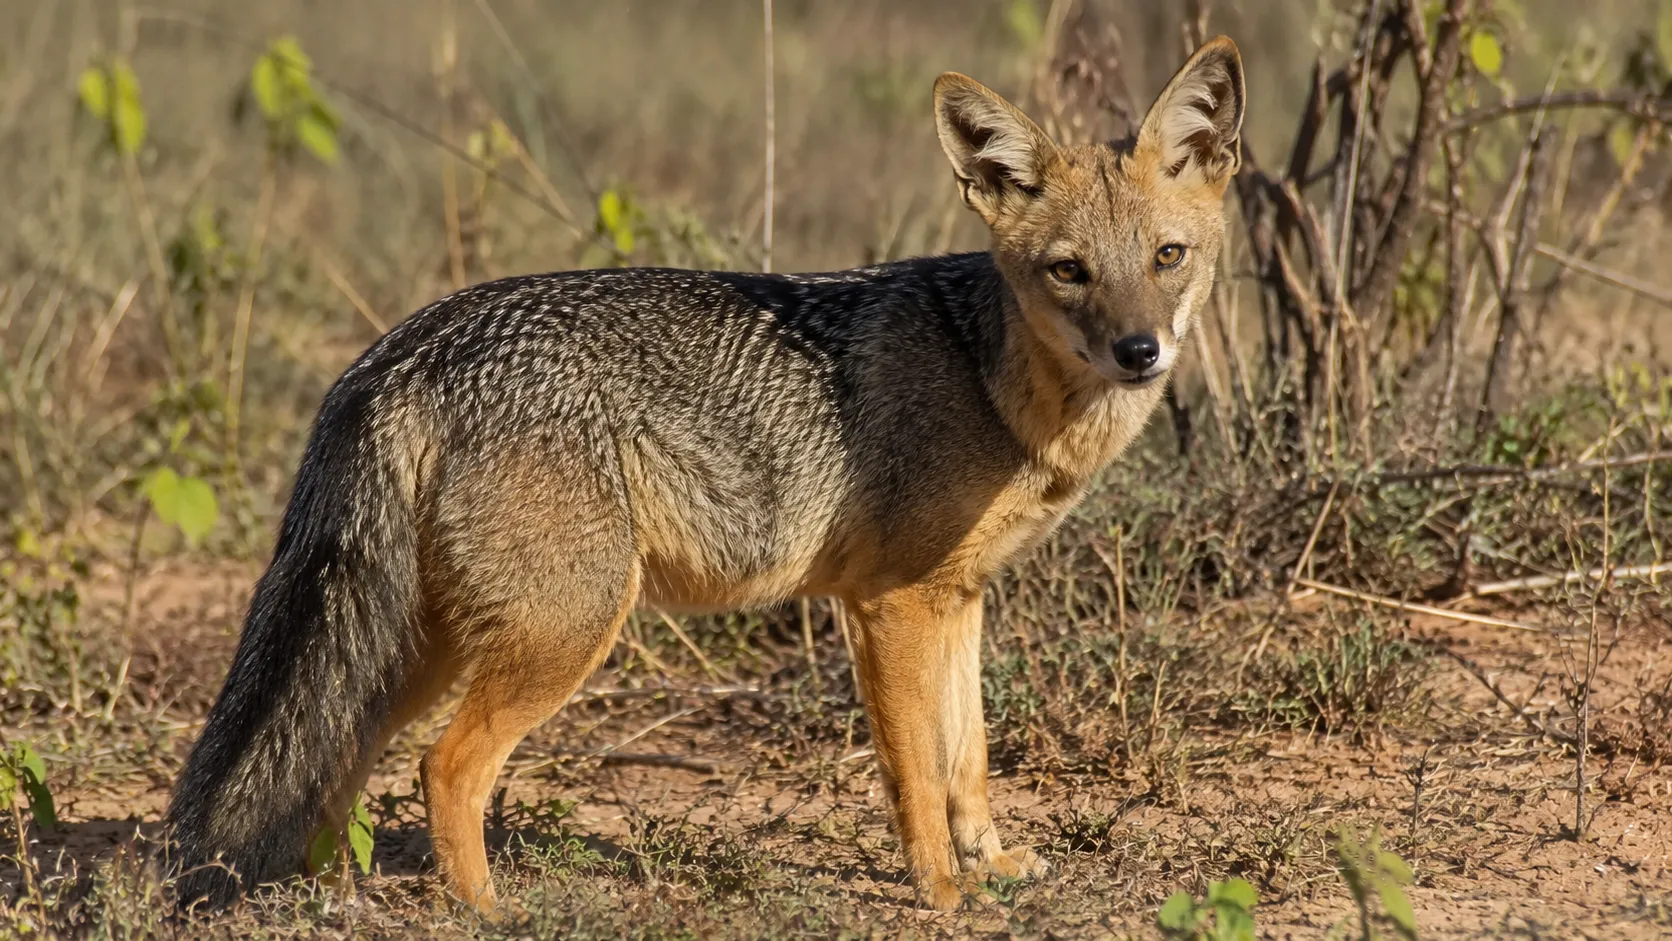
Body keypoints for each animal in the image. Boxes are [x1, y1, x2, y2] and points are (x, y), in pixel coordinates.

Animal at [164, 36, 1245, 914]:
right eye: (1069, 271)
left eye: (1167, 256)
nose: (1140, 351)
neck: (990, 378)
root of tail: (405, 347)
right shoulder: (888, 605)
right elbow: (915, 777)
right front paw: (943, 891)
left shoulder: (960, 596)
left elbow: (967, 758)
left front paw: (993, 861)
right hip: (566, 630)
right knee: (444, 765)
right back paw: (488, 910)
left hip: (429, 642)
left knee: (335, 770)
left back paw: (339, 899)